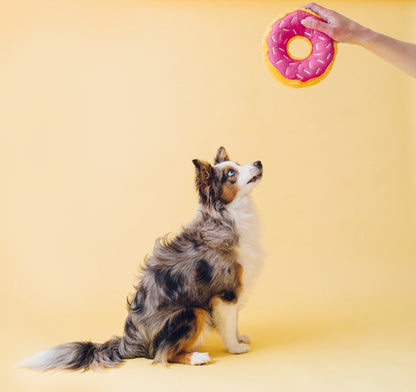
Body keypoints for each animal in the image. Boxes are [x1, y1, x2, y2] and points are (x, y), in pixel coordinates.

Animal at [20, 147, 264, 370]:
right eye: (231, 173)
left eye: (238, 164)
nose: (259, 162)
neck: (227, 215)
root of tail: (130, 342)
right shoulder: (226, 292)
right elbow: (229, 324)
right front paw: (235, 347)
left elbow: (235, 323)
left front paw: (240, 338)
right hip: (193, 311)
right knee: (162, 353)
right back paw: (196, 357)